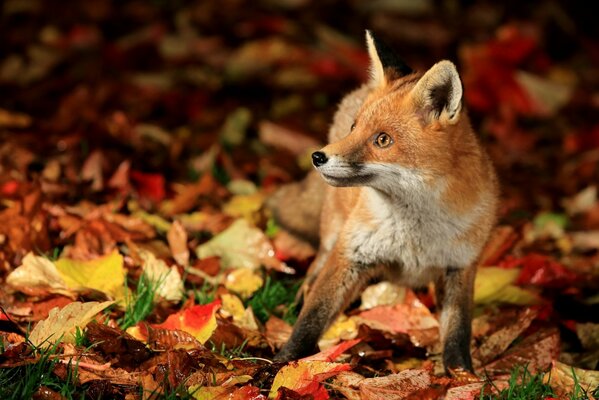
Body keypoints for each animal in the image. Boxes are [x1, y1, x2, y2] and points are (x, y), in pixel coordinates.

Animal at [270, 30, 500, 372]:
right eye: (355, 128)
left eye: (382, 140)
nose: (318, 157)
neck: (415, 234)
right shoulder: (350, 255)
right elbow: (311, 318)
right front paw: (281, 365)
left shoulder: (460, 266)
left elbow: (458, 333)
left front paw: (462, 375)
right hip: (333, 234)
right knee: (314, 271)